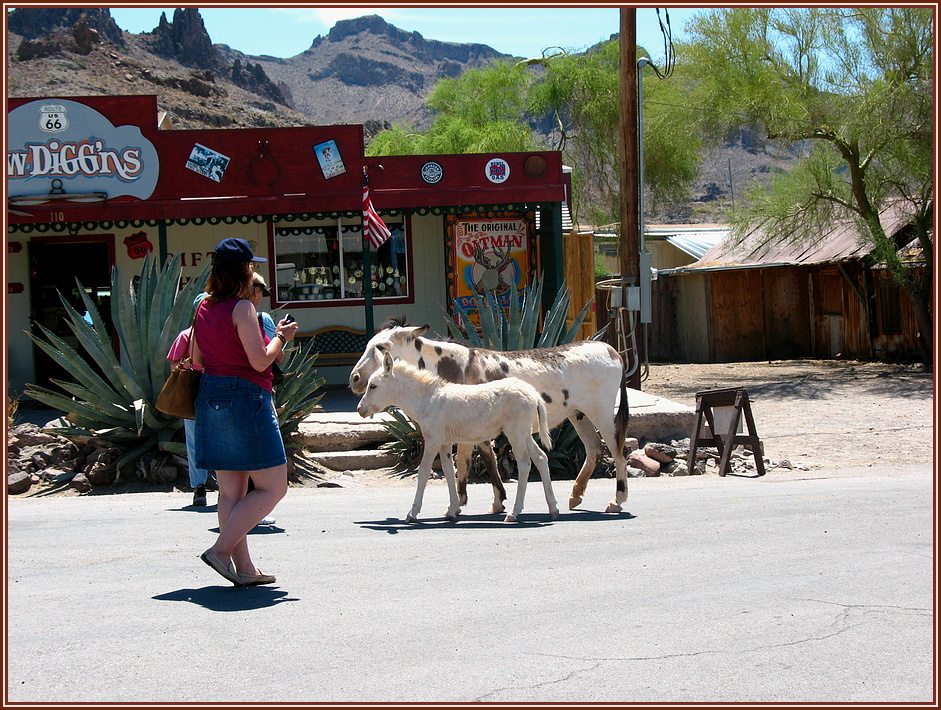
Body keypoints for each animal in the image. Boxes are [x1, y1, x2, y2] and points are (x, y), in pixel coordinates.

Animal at [356, 350, 556, 524]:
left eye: (373, 386)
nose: (359, 409)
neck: (426, 401)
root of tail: (533, 393)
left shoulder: (433, 441)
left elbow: (423, 473)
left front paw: (412, 513)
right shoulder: (445, 443)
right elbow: (449, 472)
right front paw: (452, 510)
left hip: (515, 433)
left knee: (524, 464)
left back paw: (515, 512)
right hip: (524, 434)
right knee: (541, 458)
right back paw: (553, 509)